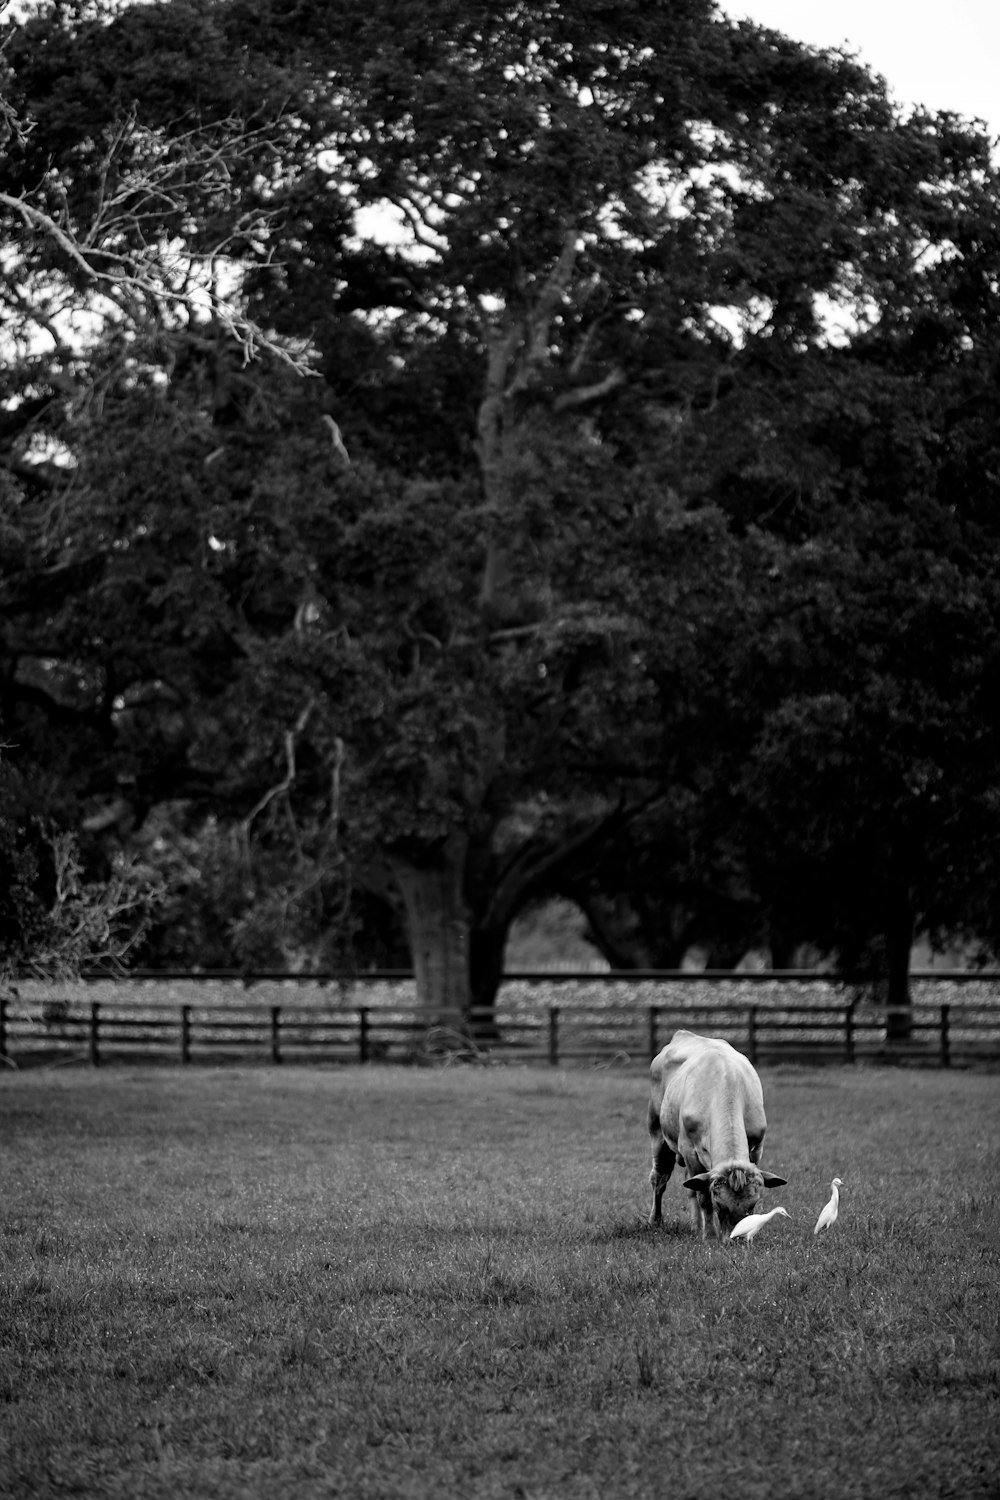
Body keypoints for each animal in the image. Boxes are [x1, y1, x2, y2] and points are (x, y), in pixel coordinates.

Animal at [650, 1026, 791, 1236]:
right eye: (721, 1205)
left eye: (752, 1206)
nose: (737, 1238)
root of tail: (683, 1034)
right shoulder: (689, 1151)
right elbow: (703, 1197)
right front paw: (709, 1235)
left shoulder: (756, 1148)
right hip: (657, 1133)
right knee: (660, 1179)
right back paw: (656, 1220)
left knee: (689, 1187)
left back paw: (695, 1226)